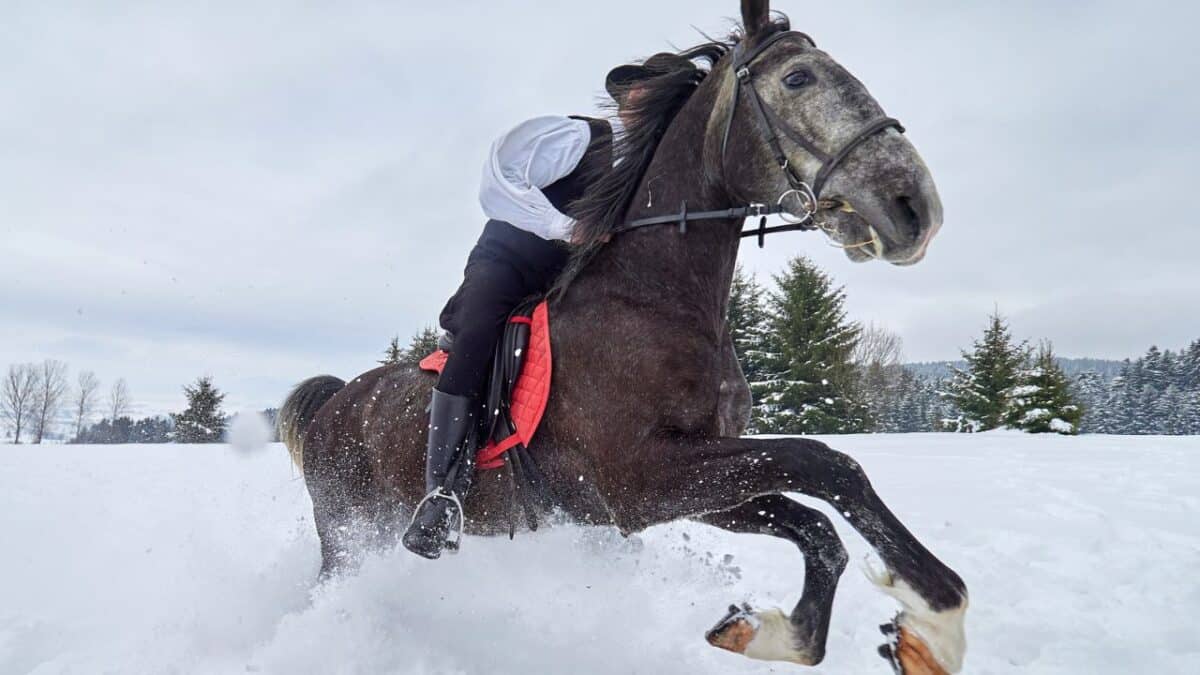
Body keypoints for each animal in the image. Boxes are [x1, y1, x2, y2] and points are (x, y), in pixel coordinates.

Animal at [278, 2, 967, 672]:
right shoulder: (638, 480)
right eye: (798, 78)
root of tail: (336, 400)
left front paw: (770, 633)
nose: (914, 206)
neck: (655, 296)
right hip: (348, 532)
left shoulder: (695, 481)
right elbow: (826, 462)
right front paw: (939, 616)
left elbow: (815, 524)